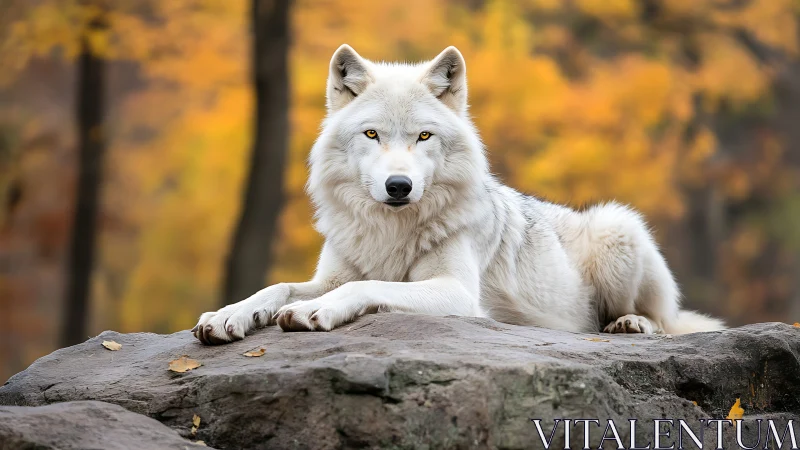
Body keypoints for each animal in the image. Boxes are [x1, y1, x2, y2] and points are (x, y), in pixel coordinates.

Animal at [193, 45, 725, 345]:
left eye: (424, 136)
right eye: (372, 135)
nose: (399, 186)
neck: (391, 232)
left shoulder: (457, 292)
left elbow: (367, 287)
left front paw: (311, 312)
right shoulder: (330, 273)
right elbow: (276, 287)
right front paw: (229, 314)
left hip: (618, 226)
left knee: (665, 321)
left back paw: (632, 325)